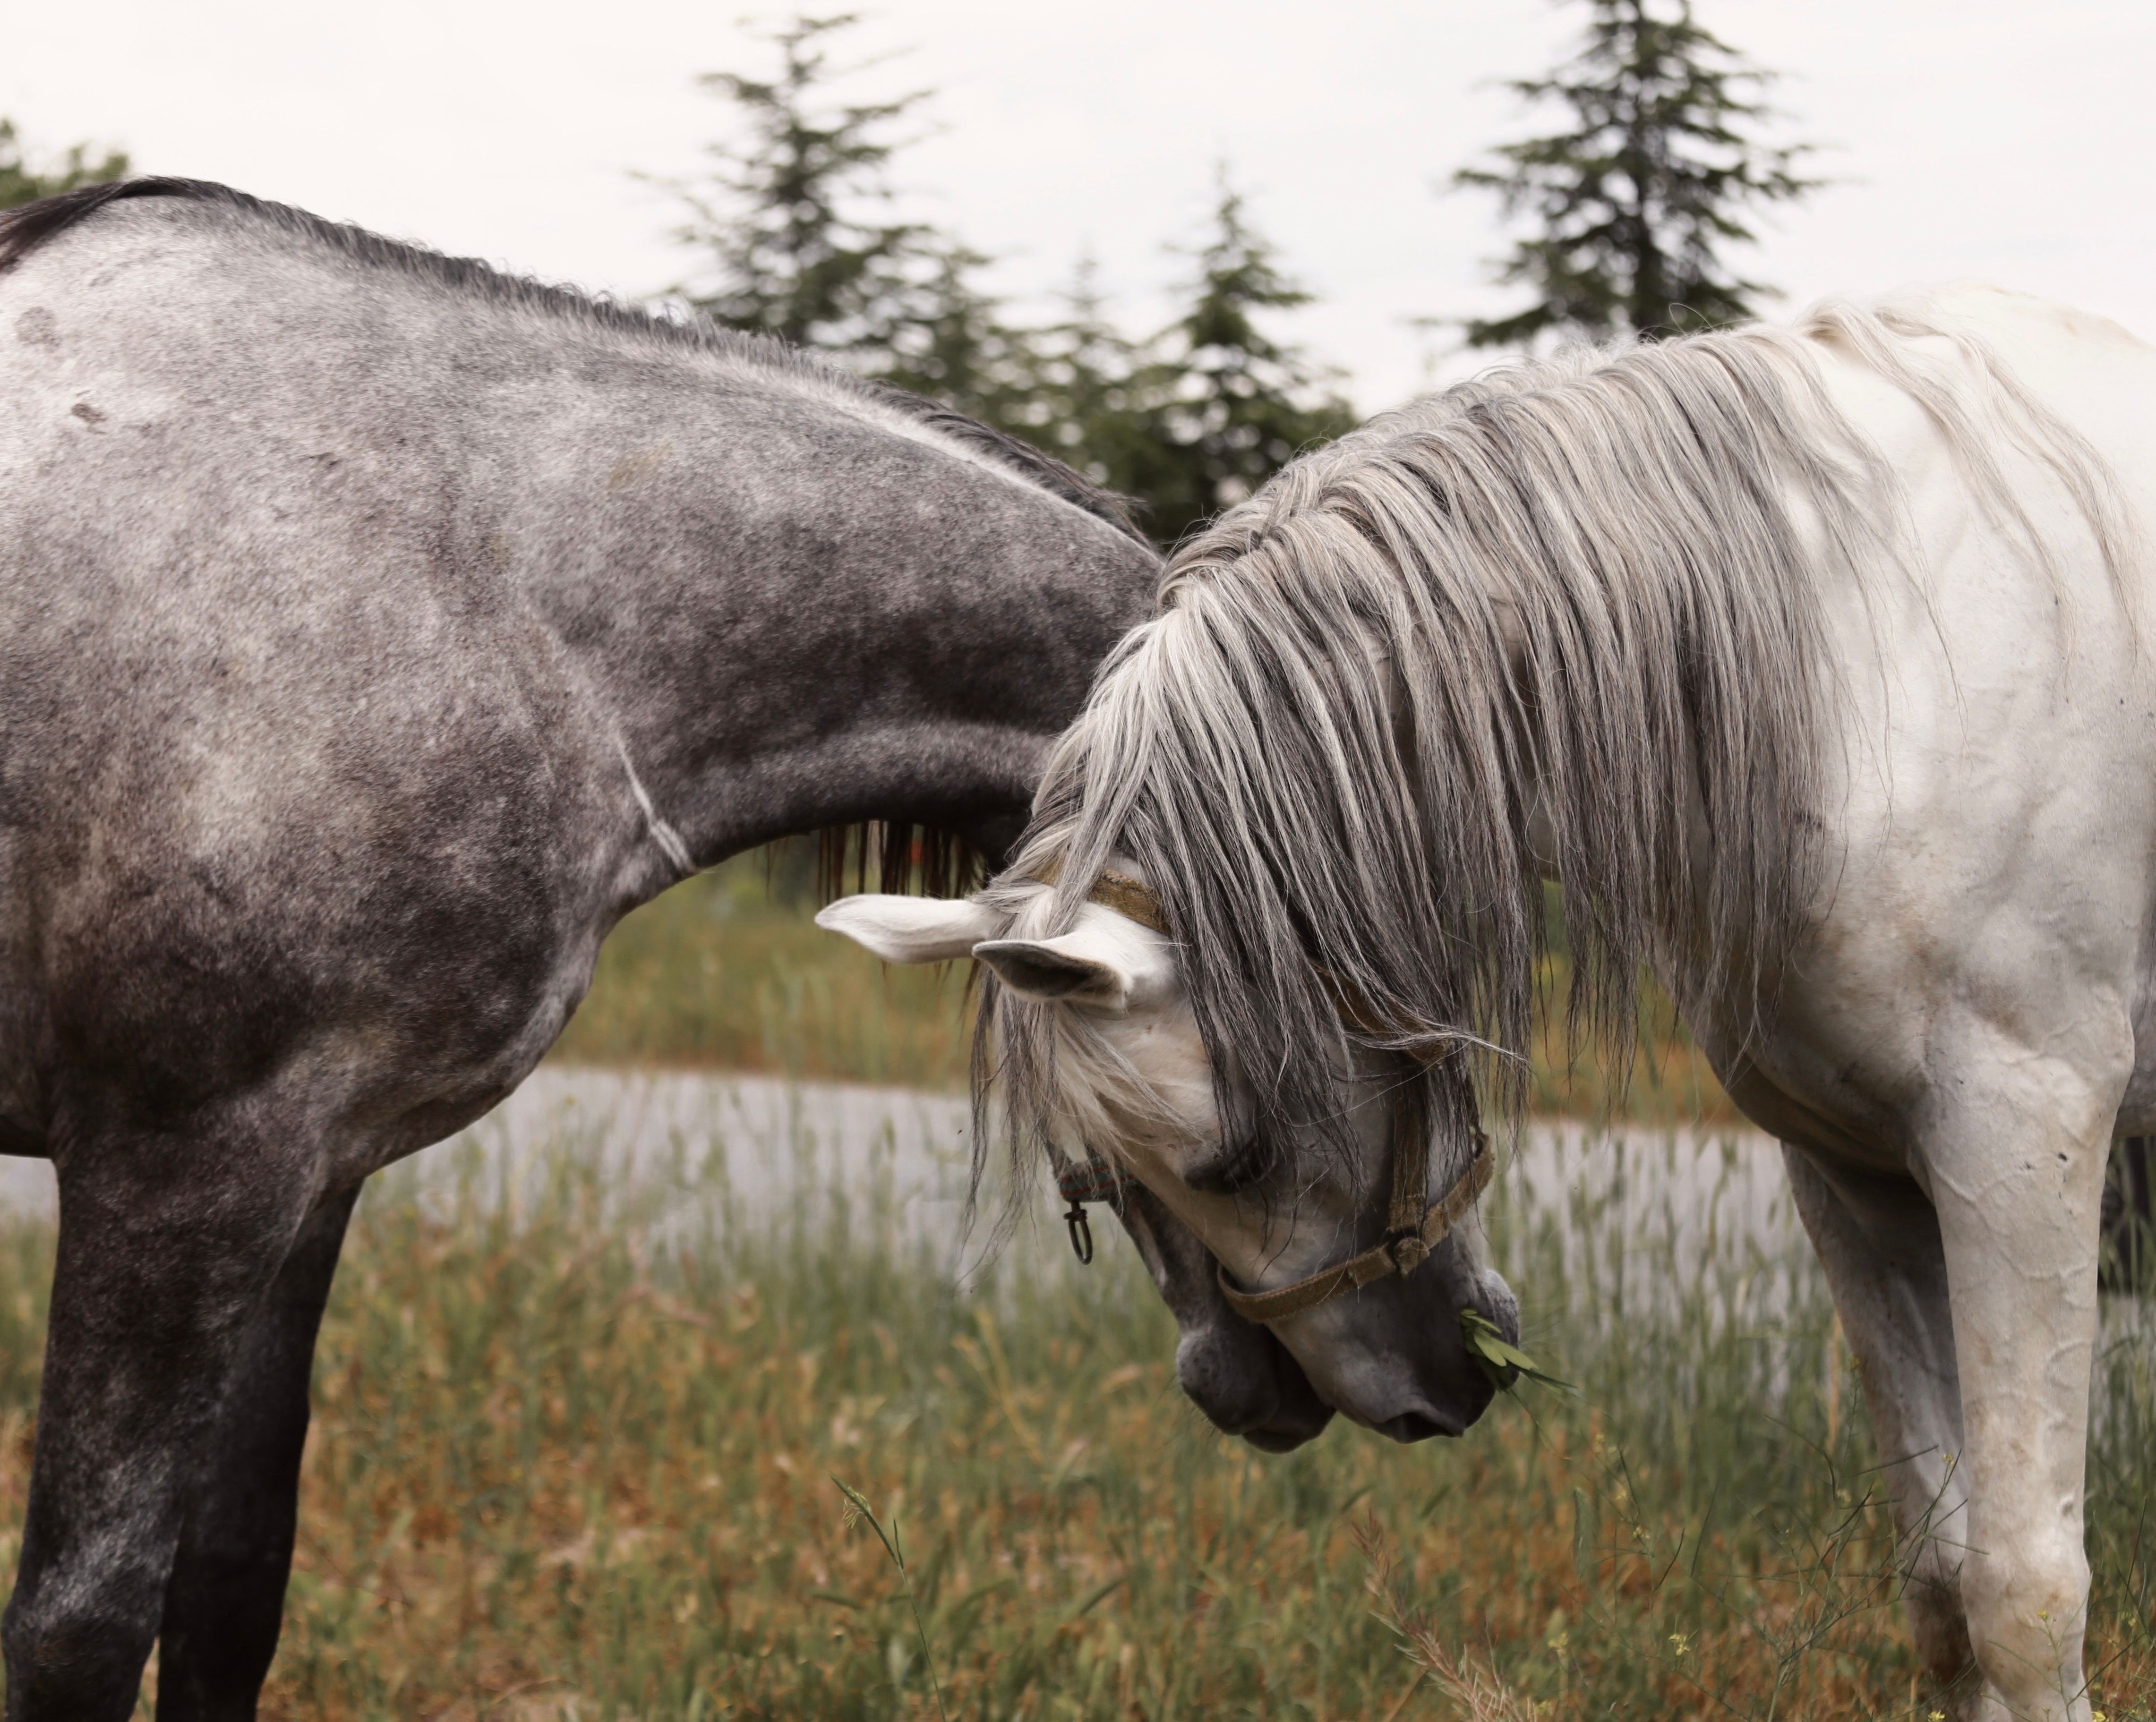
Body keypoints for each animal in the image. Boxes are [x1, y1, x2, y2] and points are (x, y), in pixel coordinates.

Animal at [820, 285, 2156, 1722]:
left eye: (1236, 1159)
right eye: (1097, 1185)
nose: (1420, 1388)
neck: (1856, 663)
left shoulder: (2018, 1144)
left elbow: (2024, 1594)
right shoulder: (1857, 1175)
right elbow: (1943, 1585)